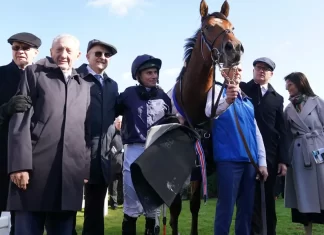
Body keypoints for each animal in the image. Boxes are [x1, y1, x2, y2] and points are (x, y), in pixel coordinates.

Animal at [167, 0, 243, 234]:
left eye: (232, 26)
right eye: (208, 27)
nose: (234, 48)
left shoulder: (198, 171)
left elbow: (193, 205)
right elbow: (175, 209)